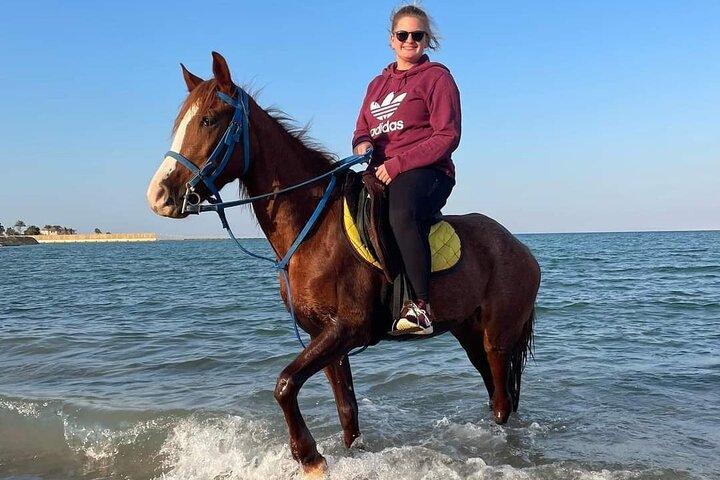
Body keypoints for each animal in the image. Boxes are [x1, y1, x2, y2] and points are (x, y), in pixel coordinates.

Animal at [147, 52, 540, 478]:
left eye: (209, 120)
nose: (160, 195)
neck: (314, 226)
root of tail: (521, 249)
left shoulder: (346, 329)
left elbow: (284, 384)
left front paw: (310, 457)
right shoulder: (326, 338)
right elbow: (347, 411)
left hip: (497, 338)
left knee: (501, 403)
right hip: (469, 334)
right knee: (497, 397)